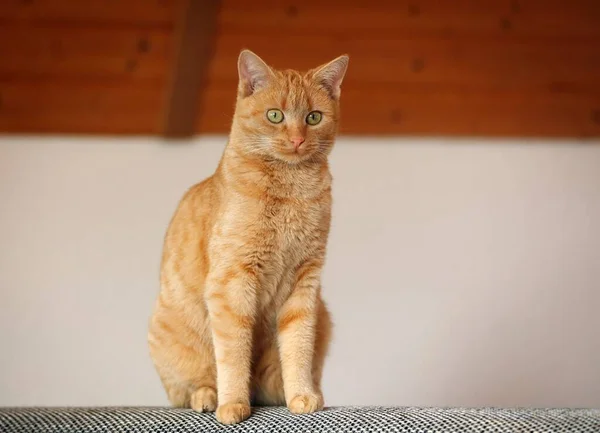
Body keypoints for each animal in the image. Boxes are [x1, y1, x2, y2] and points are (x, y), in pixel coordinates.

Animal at [147, 49, 350, 424]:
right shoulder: (232, 282)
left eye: (313, 117)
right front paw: (232, 404)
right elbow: (233, 354)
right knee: (189, 388)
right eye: (275, 115)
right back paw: (208, 397)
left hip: (323, 316)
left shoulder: (305, 283)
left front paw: (301, 395)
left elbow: (298, 347)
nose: (297, 139)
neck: (290, 191)